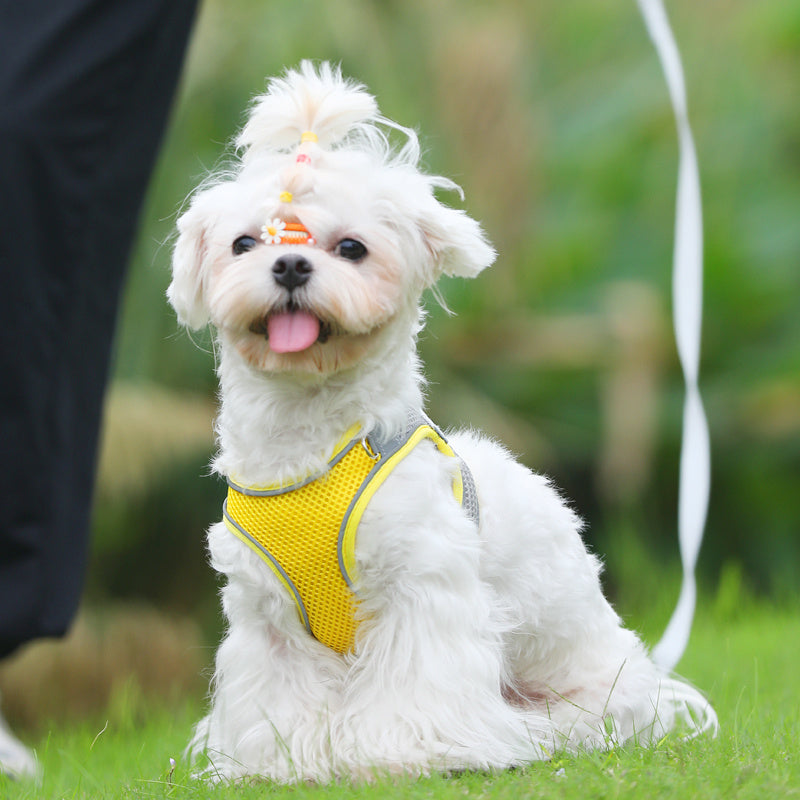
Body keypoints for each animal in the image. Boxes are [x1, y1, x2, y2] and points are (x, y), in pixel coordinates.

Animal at [169, 61, 720, 780]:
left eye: (352, 248)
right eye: (243, 243)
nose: (289, 263)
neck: (312, 446)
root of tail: (656, 690)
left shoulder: (421, 585)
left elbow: (415, 681)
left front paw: (403, 752)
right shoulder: (267, 616)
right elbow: (280, 696)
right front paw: (285, 761)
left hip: (591, 693)